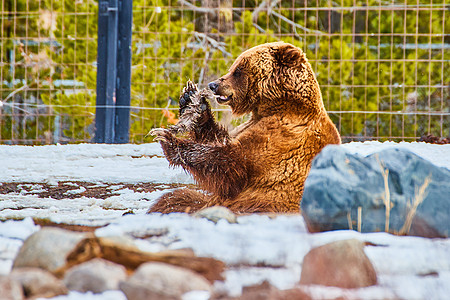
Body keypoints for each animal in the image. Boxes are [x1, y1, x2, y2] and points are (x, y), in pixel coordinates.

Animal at [149, 41, 340, 213]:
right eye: (233, 67)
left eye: (238, 70)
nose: (213, 85)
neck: (280, 105)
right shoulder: (250, 124)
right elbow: (220, 139)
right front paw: (191, 100)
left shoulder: (284, 136)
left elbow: (233, 165)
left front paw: (168, 139)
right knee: (176, 198)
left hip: (261, 204)